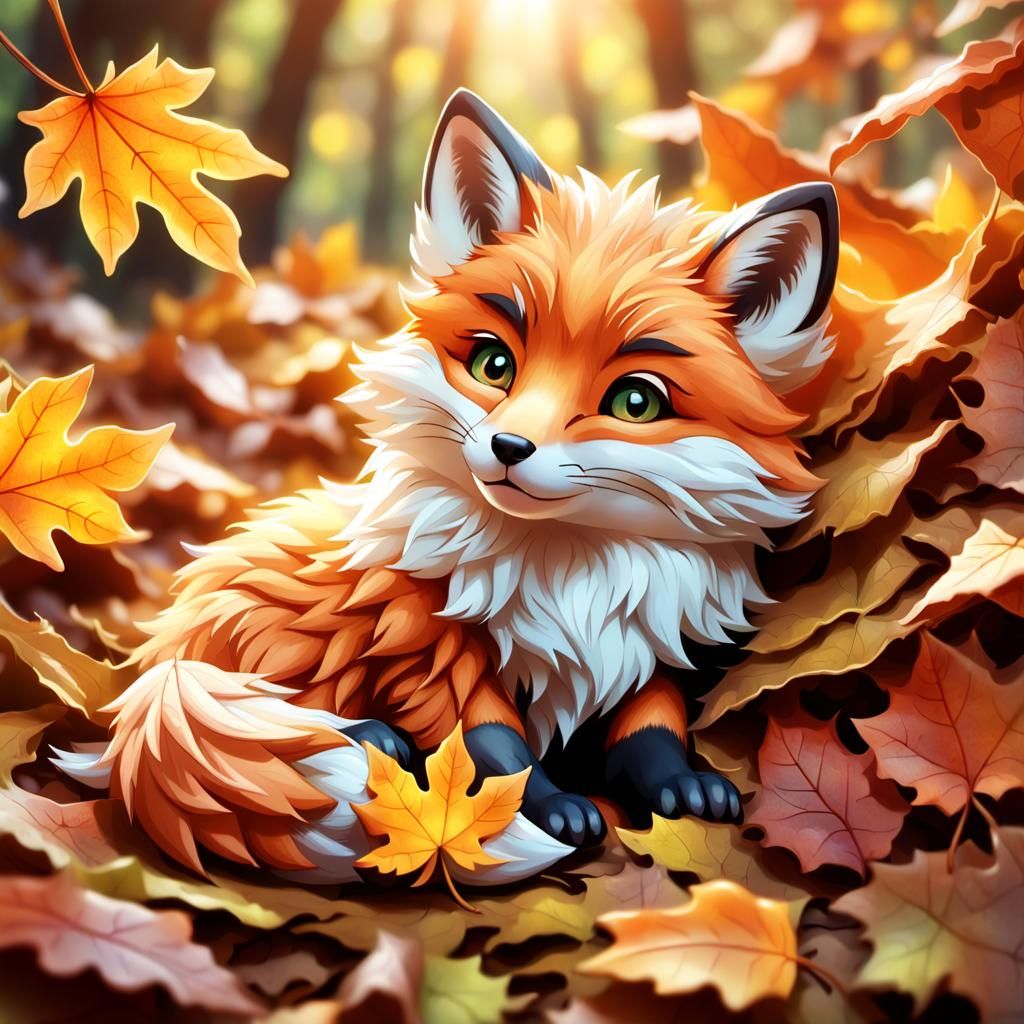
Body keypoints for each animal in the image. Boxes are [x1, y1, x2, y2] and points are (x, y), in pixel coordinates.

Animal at [56, 89, 839, 882]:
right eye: (495, 364)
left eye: (635, 403)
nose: (509, 448)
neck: (567, 582)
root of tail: (153, 673)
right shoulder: (428, 642)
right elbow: (496, 749)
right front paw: (551, 808)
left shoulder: (644, 646)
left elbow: (652, 734)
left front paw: (683, 787)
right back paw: (370, 738)